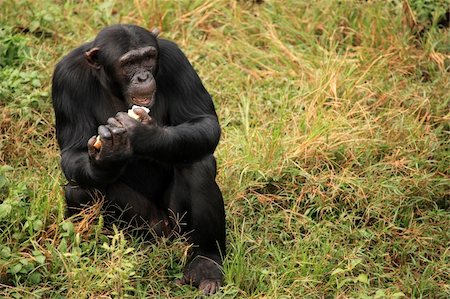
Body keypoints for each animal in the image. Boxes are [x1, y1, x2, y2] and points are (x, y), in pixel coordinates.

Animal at [51, 24, 227, 296]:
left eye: (148, 57)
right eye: (129, 63)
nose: (143, 77)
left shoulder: (176, 59)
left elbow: (203, 121)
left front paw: (142, 133)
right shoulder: (65, 79)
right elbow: (72, 151)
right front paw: (106, 159)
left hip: (178, 226)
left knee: (198, 165)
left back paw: (206, 263)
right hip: (144, 229)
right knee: (78, 189)